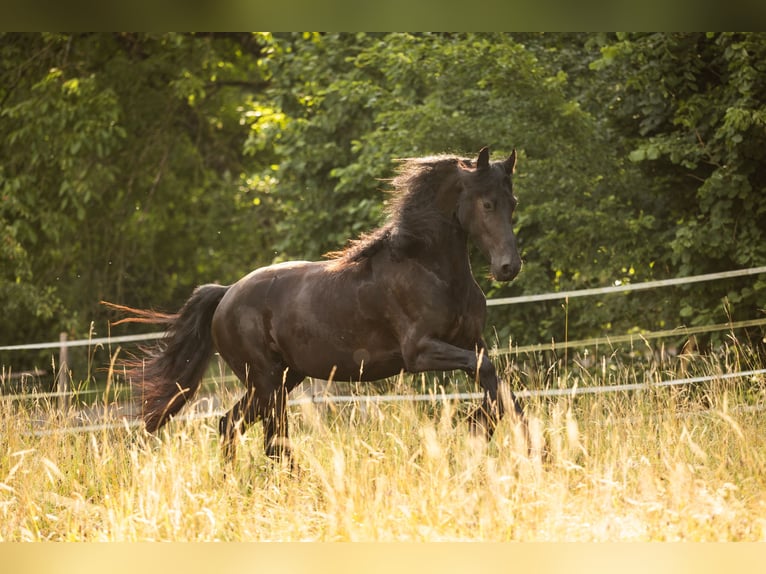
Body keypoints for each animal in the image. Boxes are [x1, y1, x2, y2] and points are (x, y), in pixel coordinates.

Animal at [107, 146, 526, 466]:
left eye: (512, 203)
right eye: (486, 203)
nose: (508, 267)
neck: (428, 268)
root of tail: (226, 295)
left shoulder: (470, 342)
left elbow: (498, 384)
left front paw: (499, 433)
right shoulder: (420, 353)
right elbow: (489, 376)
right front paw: (476, 428)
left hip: (280, 379)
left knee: (235, 425)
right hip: (267, 382)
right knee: (269, 436)